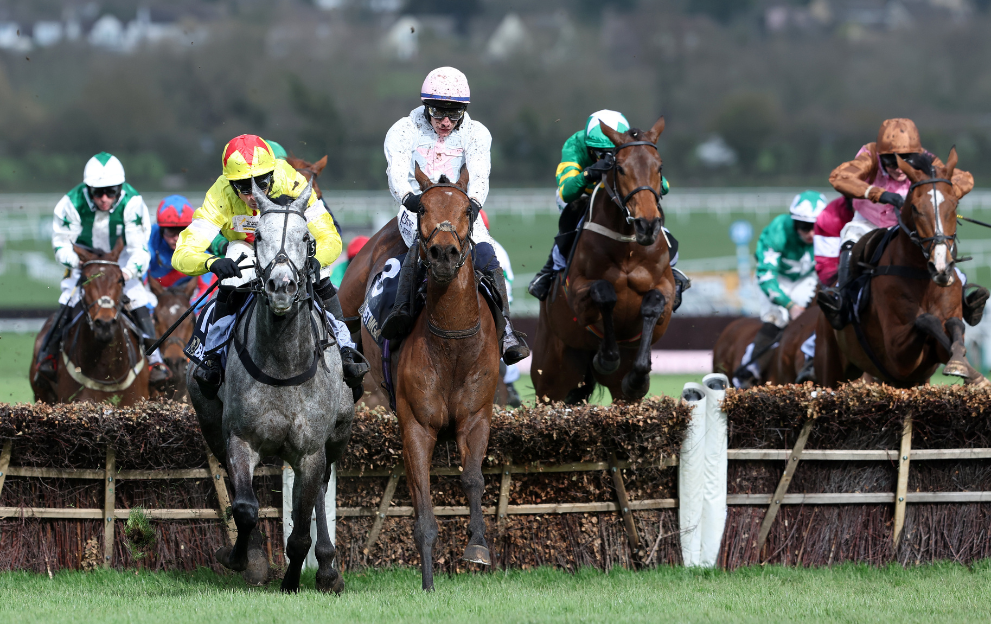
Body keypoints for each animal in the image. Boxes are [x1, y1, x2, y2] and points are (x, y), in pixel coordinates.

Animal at [187, 178, 356, 592]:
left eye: (306, 237)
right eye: (260, 235)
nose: (281, 285)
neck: (282, 363)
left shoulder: (311, 449)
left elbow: (300, 531)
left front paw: (293, 580)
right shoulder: (240, 437)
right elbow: (246, 507)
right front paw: (241, 559)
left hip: (337, 436)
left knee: (319, 491)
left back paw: (327, 569)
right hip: (209, 419)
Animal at [342, 165, 500, 588]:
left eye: (468, 210)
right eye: (423, 207)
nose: (443, 253)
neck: (452, 343)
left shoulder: (475, 417)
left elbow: (473, 479)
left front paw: (478, 546)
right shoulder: (415, 424)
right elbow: (423, 506)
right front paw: (428, 583)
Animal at [536, 117, 676, 402]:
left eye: (659, 167)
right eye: (619, 168)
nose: (647, 225)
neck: (628, 246)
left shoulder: (666, 290)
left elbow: (654, 303)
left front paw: (638, 376)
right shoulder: (577, 292)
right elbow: (605, 292)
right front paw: (606, 357)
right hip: (550, 375)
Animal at [816, 148, 988, 388]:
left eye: (955, 205)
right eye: (915, 208)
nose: (941, 267)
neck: (923, 279)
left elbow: (954, 327)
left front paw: (968, 369)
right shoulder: (897, 355)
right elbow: (926, 320)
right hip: (831, 366)